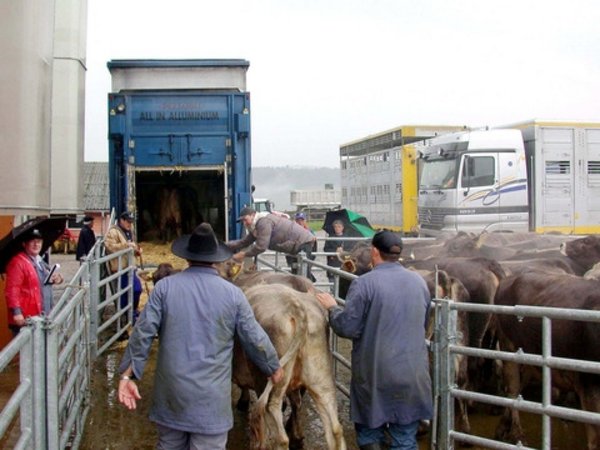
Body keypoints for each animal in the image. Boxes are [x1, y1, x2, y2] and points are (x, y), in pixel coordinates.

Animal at [492, 272, 600, 448]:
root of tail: (509, 278)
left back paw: (502, 429)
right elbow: (595, 440)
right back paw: (517, 435)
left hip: (531, 359)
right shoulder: (590, 386)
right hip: (508, 347)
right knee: (513, 390)